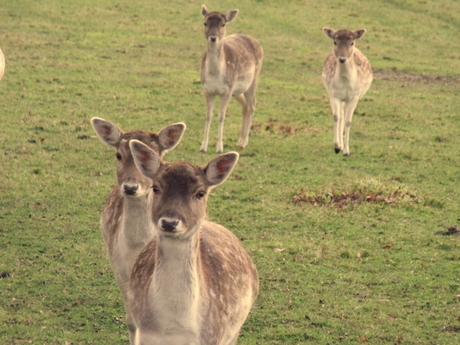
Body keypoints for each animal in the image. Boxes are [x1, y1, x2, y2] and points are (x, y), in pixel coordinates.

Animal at [127, 140, 260, 344]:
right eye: (155, 188)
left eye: (200, 193)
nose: (170, 222)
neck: (173, 330)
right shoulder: (146, 336)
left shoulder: (213, 335)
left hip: (234, 331)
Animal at [200, 4, 264, 153]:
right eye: (205, 23)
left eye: (223, 24)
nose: (213, 38)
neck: (216, 74)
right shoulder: (207, 89)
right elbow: (208, 116)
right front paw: (203, 147)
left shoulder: (227, 91)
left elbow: (221, 117)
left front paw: (219, 148)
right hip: (237, 90)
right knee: (245, 106)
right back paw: (240, 140)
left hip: (252, 81)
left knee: (252, 105)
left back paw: (243, 142)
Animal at [322, 27, 372, 156]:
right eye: (335, 41)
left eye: (352, 42)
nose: (342, 58)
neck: (345, 81)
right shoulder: (334, 95)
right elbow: (336, 117)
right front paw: (336, 147)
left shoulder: (354, 97)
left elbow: (348, 121)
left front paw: (346, 151)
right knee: (341, 115)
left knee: (344, 116)